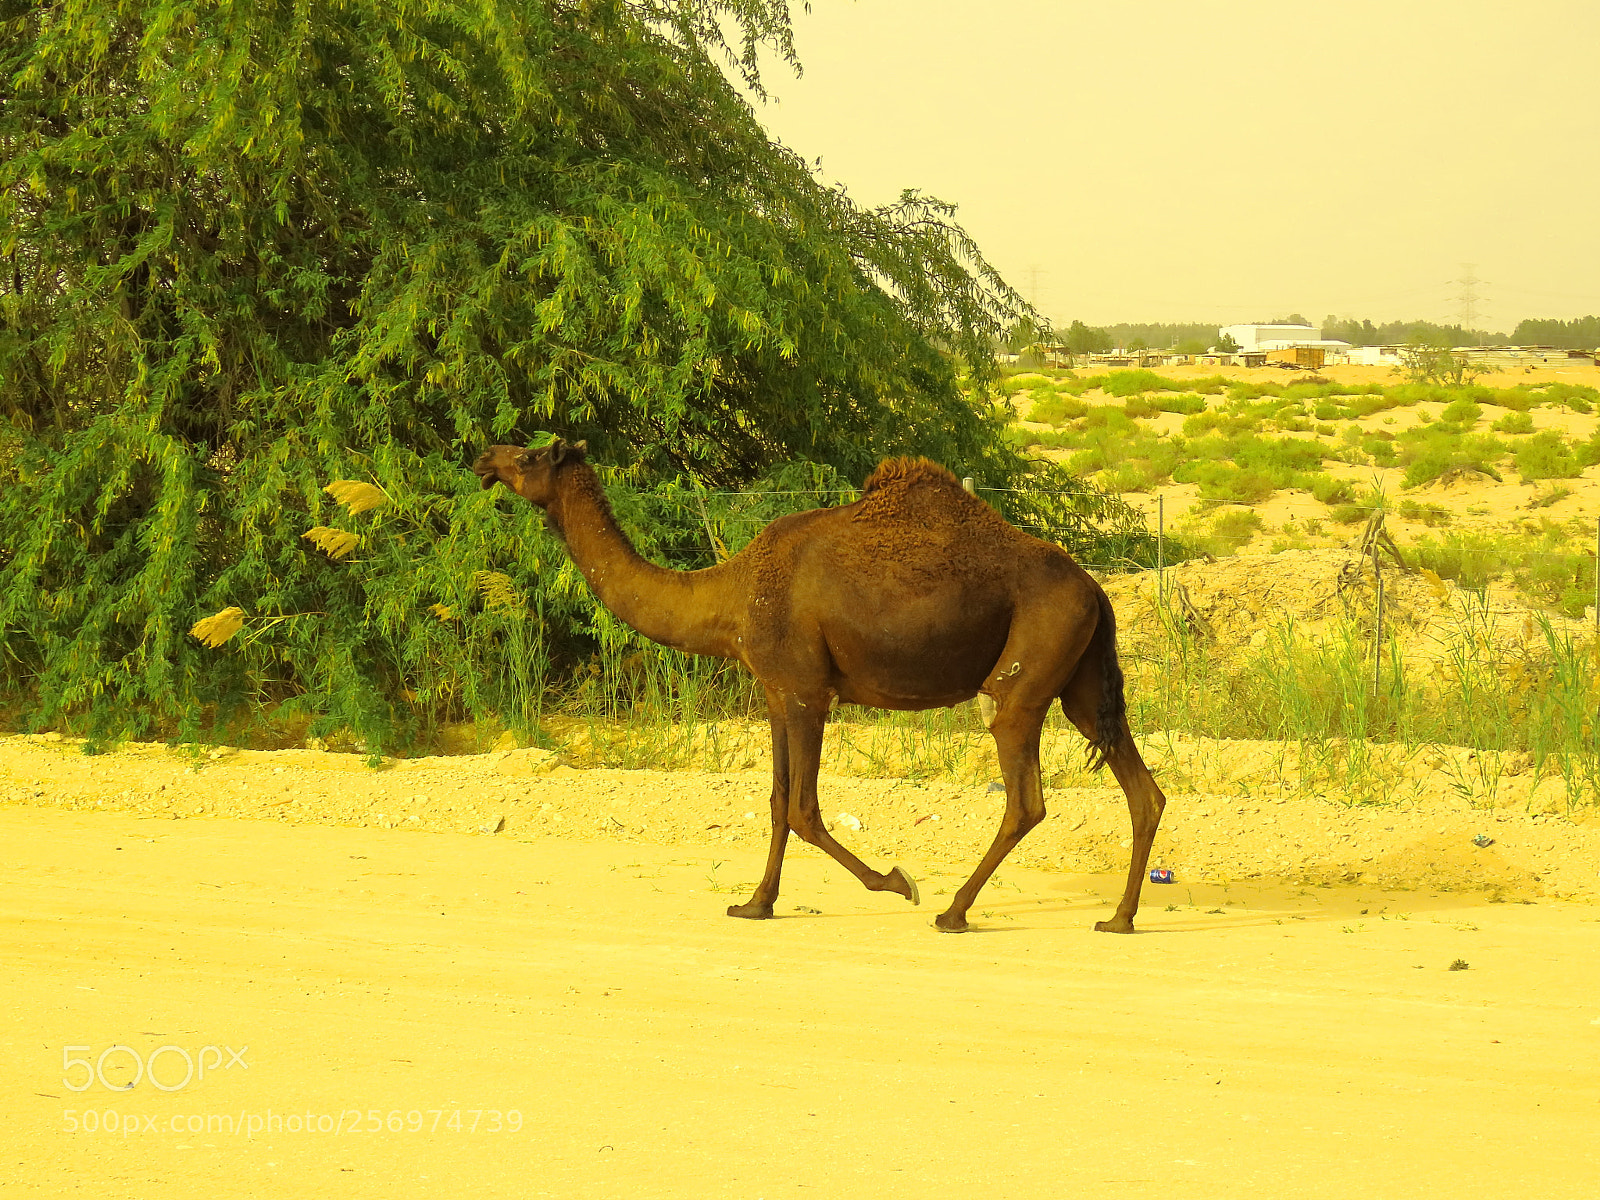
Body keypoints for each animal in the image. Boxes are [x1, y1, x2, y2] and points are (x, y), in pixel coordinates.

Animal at [473, 439, 1168, 933]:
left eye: (529, 455)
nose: (483, 458)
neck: (731, 594)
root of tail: (1095, 587)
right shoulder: (777, 694)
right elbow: (779, 802)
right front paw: (754, 904)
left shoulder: (807, 690)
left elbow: (805, 810)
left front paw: (898, 881)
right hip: (1079, 679)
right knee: (1142, 789)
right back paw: (1118, 918)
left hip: (1024, 672)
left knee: (1024, 792)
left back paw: (952, 912)